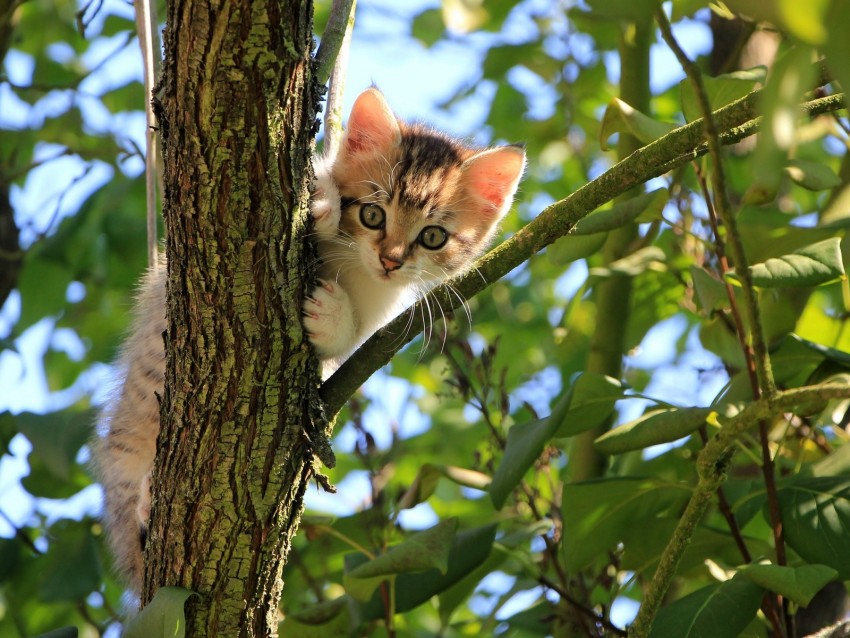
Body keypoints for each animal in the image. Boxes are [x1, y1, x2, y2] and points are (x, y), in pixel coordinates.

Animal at [96, 89, 528, 596]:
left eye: (433, 236)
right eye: (372, 214)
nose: (391, 260)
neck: (355, 266)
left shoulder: (377, 315)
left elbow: (348, 340)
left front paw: (331, 315)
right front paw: (322, 203)